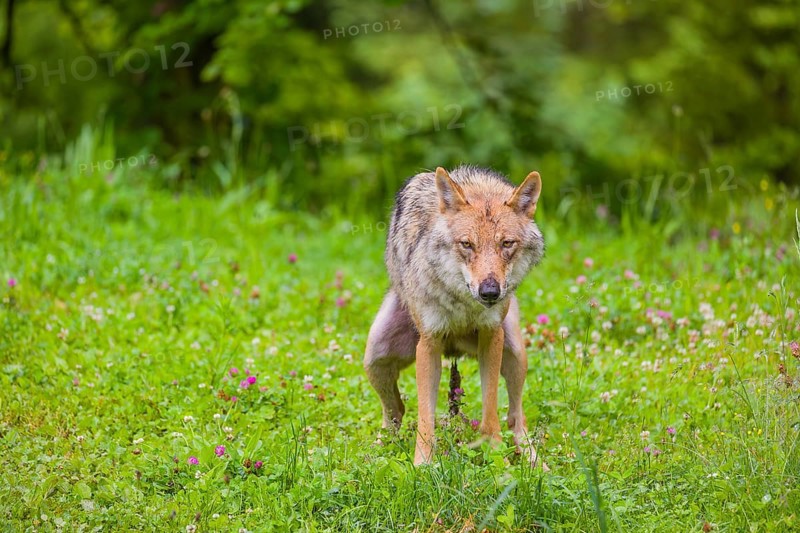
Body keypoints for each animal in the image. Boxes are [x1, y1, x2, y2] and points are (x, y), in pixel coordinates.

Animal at [363, 165, 547, 468]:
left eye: (507, 244)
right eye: (467, 244)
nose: (489, 291)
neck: (464, 304)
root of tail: (455, 349)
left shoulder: (491, 337)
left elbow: (491, 412)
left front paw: (497, 458)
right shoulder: (429, 343)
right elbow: (426, 418)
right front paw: (422, 466)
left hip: (515, 353)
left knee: (516, 417)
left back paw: (534, 461)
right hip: (375, 357)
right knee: (396, 412)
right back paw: (378, 453)